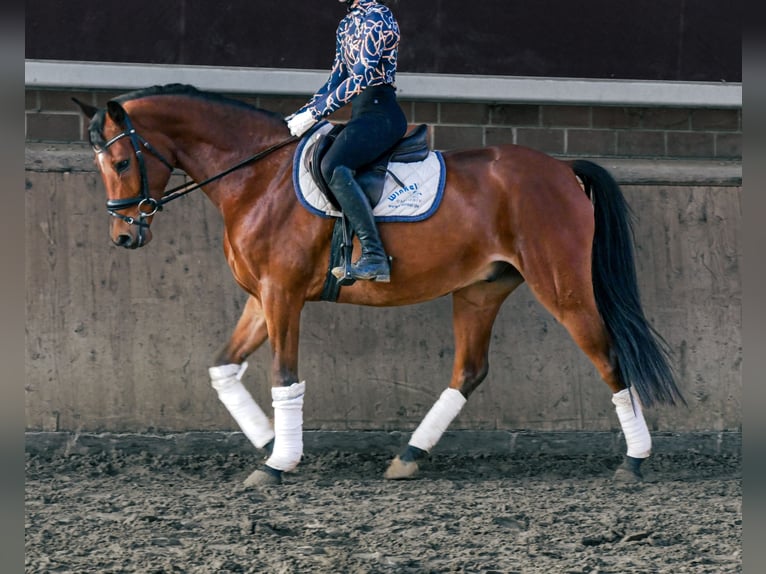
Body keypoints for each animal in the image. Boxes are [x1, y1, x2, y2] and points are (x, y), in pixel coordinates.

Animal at [75, 83, 688, 488]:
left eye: (123, 162)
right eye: (100, 165)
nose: (124, 236)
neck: (255, 178)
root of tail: (561, 169)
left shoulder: (282, 295)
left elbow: (284, 378)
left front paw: (278, 463)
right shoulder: (260, 298)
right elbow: (223, 369)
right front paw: (270, 442)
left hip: (560, 286)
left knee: (608, 355)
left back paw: (634, 461)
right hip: (480, 289)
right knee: (469, 370)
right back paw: (409, 456)